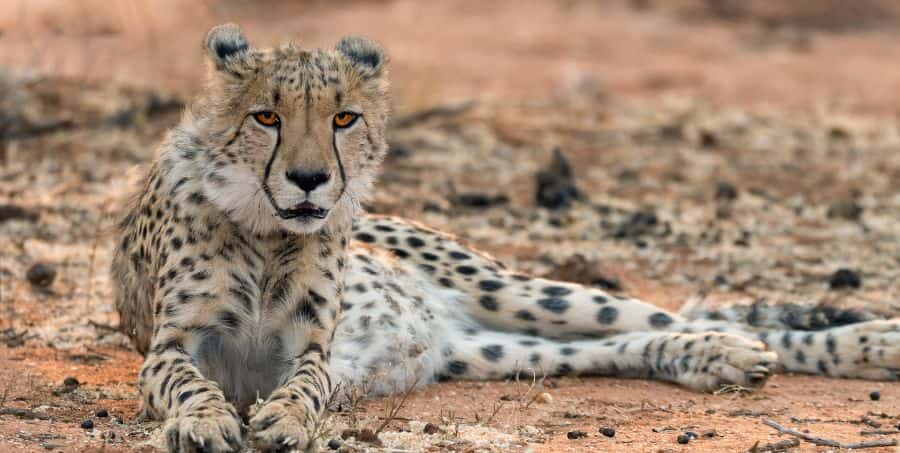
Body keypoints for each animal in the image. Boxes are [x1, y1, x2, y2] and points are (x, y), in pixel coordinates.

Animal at [112, 24, 900, 452]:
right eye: (267, 116)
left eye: (344, 118)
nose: (310, 180)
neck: (266, 228)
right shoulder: (172, 345)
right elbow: (188, 381)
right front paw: (206, 422)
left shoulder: (309, 345)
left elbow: (305, 383)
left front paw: (282, 418)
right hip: (486, 351)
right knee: (627, 342)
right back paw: (716, 358)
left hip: (515, 291)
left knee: (673, 315)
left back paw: (852, 343)